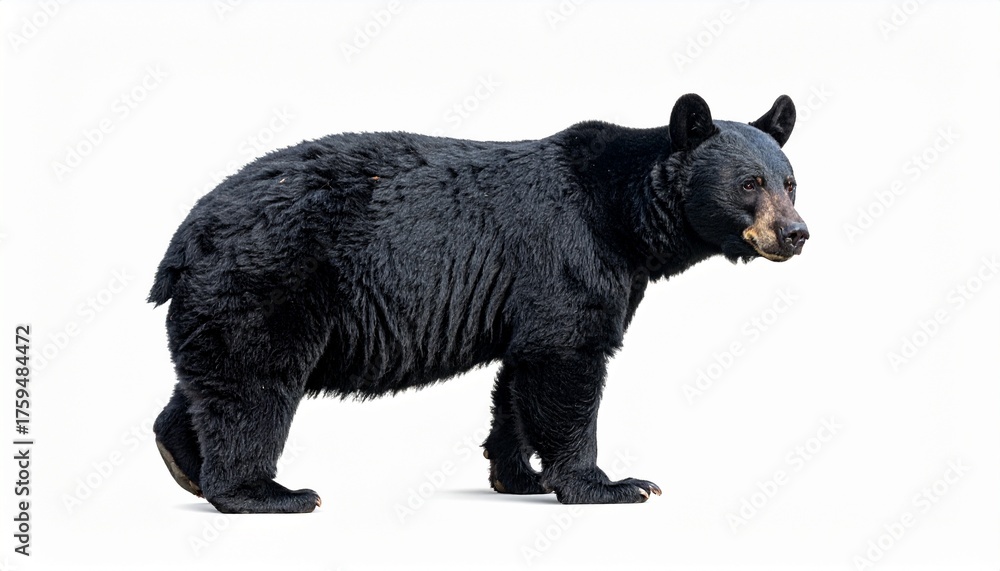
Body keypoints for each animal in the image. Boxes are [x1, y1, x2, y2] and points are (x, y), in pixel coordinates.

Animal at [149, 93, 808, 514]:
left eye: (791, 182)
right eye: (748, 184)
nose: (796, 233)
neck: (622, 213)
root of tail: (185, 234)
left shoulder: (534, 292)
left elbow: (520, 375)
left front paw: (521, 476)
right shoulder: (569, 251)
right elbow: (567, 359)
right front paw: (610, 484)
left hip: (223, 296)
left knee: (213, 380)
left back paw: (184, 465)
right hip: (274, 276)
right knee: (257, 380)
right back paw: (265, 493)